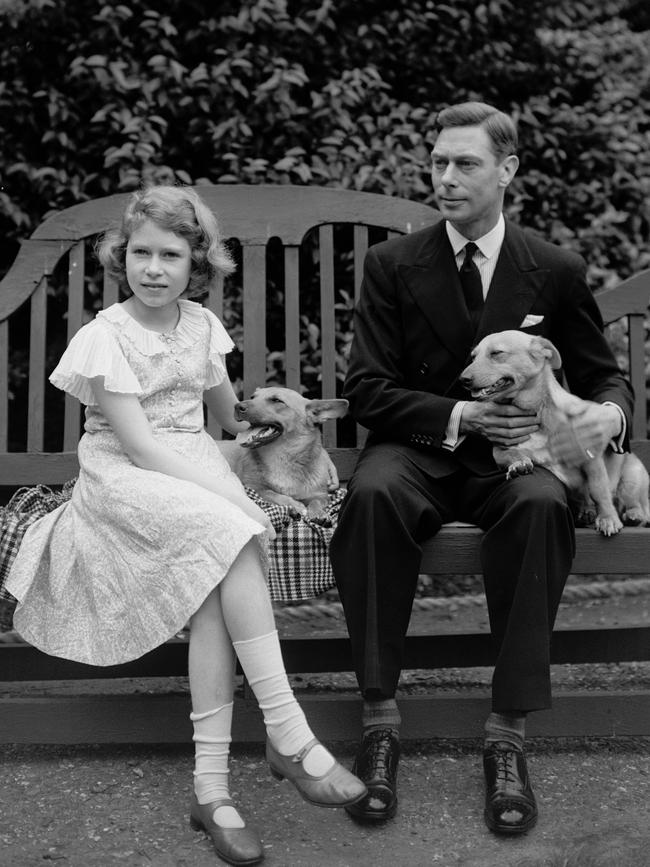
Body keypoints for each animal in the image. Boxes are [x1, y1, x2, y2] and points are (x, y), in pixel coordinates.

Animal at [218, 390, 346, 520]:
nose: (237, 406)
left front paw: (317, 512)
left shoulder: (320, 494)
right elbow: (273, 494)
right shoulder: (253, 487)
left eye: (277, 400)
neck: (282, 458)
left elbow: (316, 501)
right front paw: (295, 505)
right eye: (253, 397)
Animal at [458, 332, 644, 536]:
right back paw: (586, 511)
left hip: (632, 480)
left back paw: (633, 515)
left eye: (496, 353)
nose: (463, 379)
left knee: (635, 506)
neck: (536, 411)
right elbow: (513, 454)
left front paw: (608, 518)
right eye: (473, 357)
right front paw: (518, 465)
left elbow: (598, 490)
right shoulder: (500, 451)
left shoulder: (591, 460)